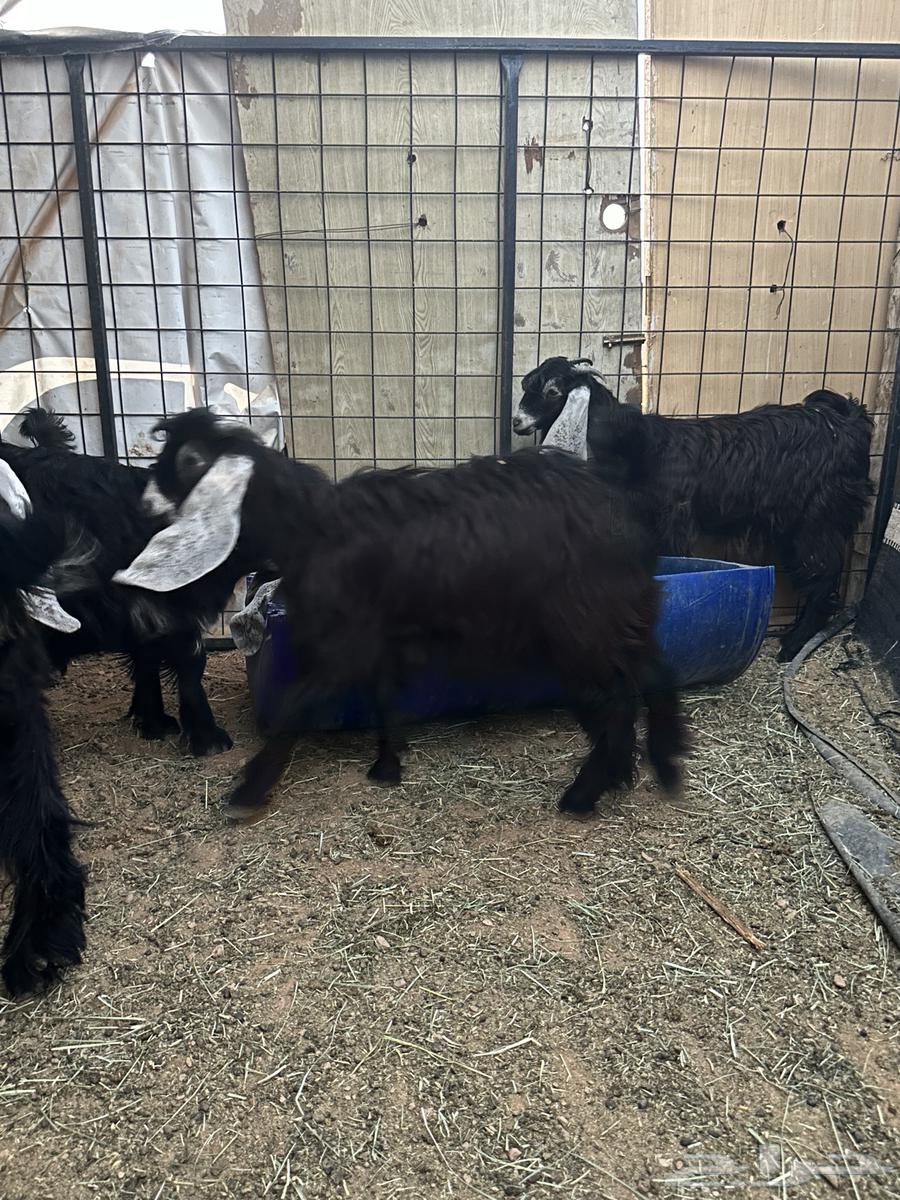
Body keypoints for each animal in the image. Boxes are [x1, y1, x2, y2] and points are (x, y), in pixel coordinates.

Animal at [114, 408, 688, 820]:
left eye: (189, 464)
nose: (143, 507)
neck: (312, 527)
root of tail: (625, 512)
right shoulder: (380, 634)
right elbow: (386, 695)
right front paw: (387, 766)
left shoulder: (344, 642)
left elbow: (297, 709)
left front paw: (249, 790)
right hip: (618, 614)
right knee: (652, 673)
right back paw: (658, 765)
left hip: (583, 624)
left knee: (617, 698)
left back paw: (587, 793)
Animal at [513, 358, 873, 662]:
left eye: (553, 392)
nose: (517, 421)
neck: (638, 448)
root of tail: (850, 421)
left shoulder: (673, 518)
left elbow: (673, 561)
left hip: (820, 517)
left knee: (823, 574)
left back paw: (793, 645)